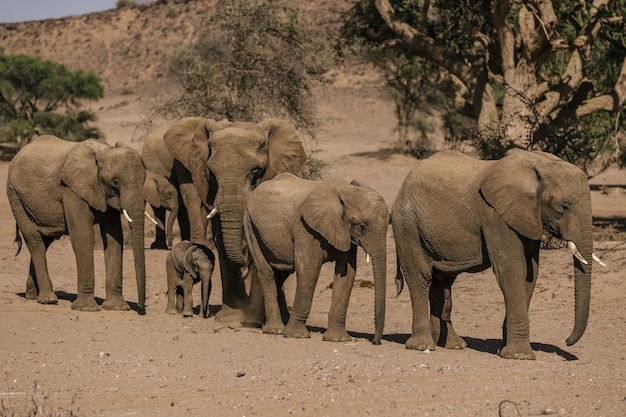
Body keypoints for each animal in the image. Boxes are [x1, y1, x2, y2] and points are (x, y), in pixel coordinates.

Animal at [7, 136, 147, 312]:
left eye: (145, 178)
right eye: (115, 181)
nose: (141, 308)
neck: (103, 151)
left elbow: (114, 237)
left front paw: (118, 308)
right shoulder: (71, 190)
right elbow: (82, 235)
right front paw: (87, 309)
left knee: (44, 241)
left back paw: (32, 295)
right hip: (15, 197)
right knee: (34, 240)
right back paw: (48, 299)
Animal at [162, 115, 306, 324]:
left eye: (256, 171)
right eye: (211, 172)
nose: (244, 254)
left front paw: (254, 318)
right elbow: (221, 241)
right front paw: (229, 317)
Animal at [243, 173, 386, 344]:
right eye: (363, 226)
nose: (375, 342)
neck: (346, 191)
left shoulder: (345, 233)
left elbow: (347, 274)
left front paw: (338, 339)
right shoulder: (305, 228)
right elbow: (309, 269)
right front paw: (296, 336)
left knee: (281, 274)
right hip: (250, 226)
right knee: (267, 273)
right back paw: (275, 330)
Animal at [390, 149, 596, 358]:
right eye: (563, 206)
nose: (567, 341)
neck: (538, 164)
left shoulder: (527, 217)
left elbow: (530, 274)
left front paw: (503, 350)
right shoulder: (496, 216)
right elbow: (511, 269)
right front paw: (520, 356)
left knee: (442, 280)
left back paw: (453, 345)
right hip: (407, 224)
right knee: (420, 277)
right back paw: (423, 345)